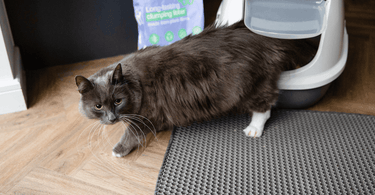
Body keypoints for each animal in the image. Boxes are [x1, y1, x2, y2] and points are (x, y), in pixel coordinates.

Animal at [75, 20, 318, 157]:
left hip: (253, 87)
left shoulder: (145, 117)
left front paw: (118, 150)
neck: (136, 83)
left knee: (265, 107)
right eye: (98, 106)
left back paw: (253, 129)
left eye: (117, 101)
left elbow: (131, 134)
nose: (111, 118)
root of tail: (263, 37)